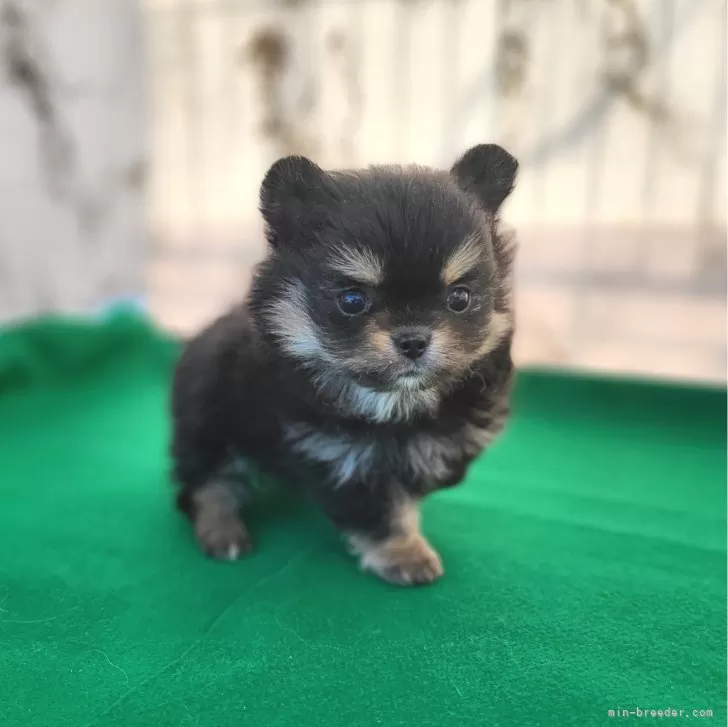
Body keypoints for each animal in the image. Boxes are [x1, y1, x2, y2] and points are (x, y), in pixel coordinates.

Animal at [171, 145, 516, 588]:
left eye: (460, 298)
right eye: (352, 300)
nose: (413, 340)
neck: (392, 403)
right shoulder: (338, 456)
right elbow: (380, 509)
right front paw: (404, 552)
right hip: (209, 428)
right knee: (207, 484)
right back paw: (222, 530)